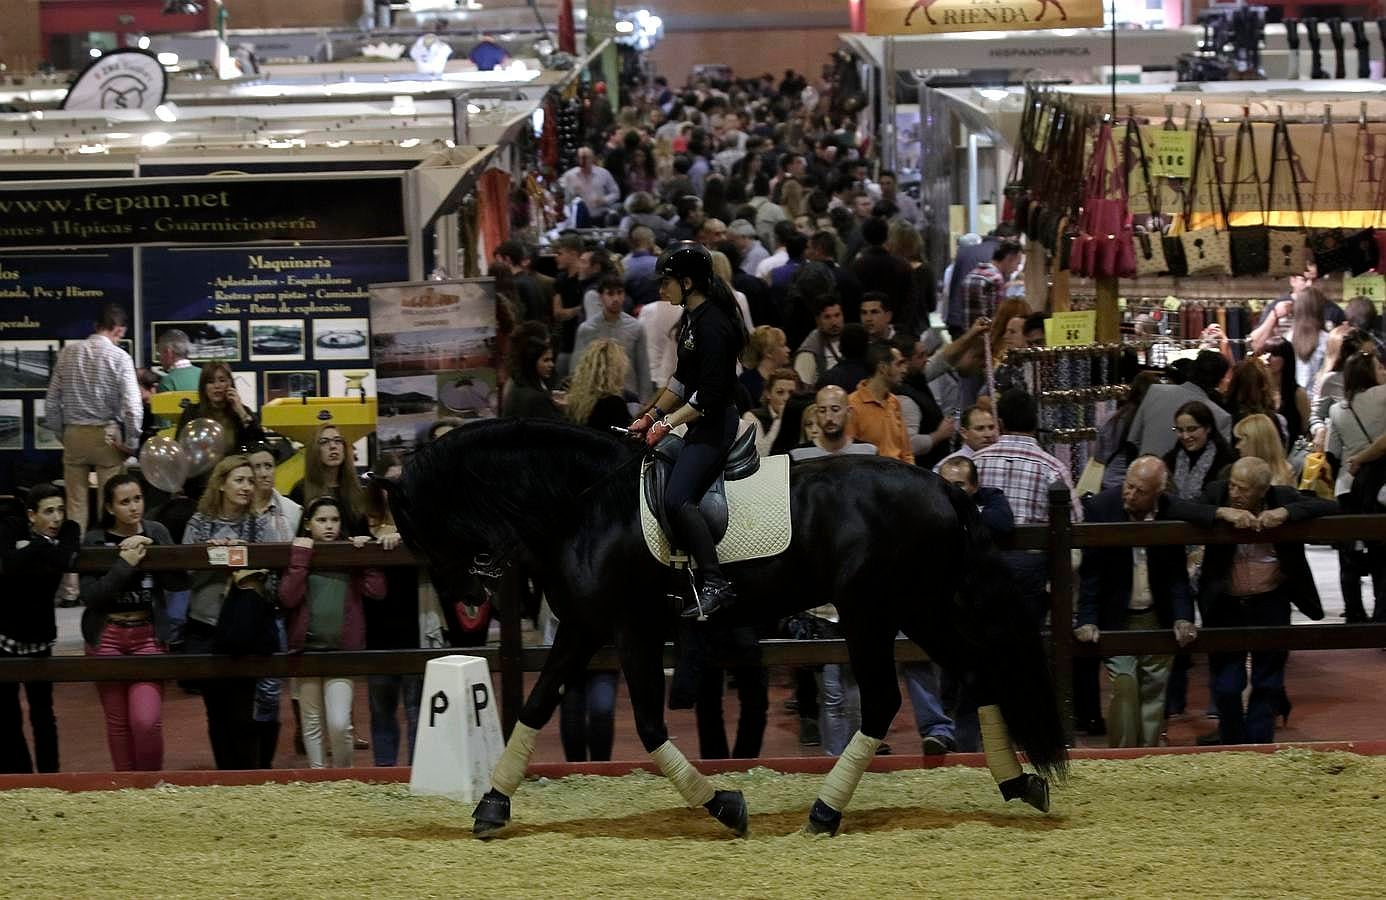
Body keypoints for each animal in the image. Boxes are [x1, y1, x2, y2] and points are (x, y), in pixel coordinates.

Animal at [385, 418, 1064, 837]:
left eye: (423, 531)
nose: (469, 601)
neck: (585, 503)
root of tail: (944, 487)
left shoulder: (629, 630)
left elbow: (650, 725)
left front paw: (724, 805)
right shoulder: (582, 627)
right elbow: (535, 705)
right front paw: (492, 805)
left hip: (872, 612)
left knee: (884, 701)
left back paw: (825, 811)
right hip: (919, 607)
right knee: (978, 669)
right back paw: (1019, 783)